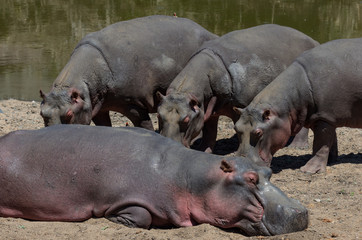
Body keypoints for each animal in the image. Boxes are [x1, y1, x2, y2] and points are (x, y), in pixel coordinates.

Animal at [0, 125, 308, 236]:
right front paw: (117, 220)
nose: (300, 211)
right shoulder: (129, 198)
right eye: (251, 178)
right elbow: (140, 216)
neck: (191, 177)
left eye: (268, 173)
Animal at [41, 15, 219, 128]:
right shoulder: (97, 107)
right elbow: (104, 124)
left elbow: (144, 124)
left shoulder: (134, 104)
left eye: (69, 114)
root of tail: (212, 33)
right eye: (42, 114)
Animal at [157, 23, 318, 152]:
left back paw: (298, 146)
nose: (168, 144)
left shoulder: (240, 107)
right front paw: (203, 151)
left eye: (186, 120)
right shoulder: (208, 109)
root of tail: (314, 40)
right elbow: (209, 134)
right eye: (159, 115)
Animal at [233, 38, 362, 172]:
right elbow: (331, 141)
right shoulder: (325, 117)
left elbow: (320, 145)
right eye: (236, 128)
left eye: (258, 132)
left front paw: (308, 170)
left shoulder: (324, 117)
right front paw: (331, 161)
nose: (241, 163)